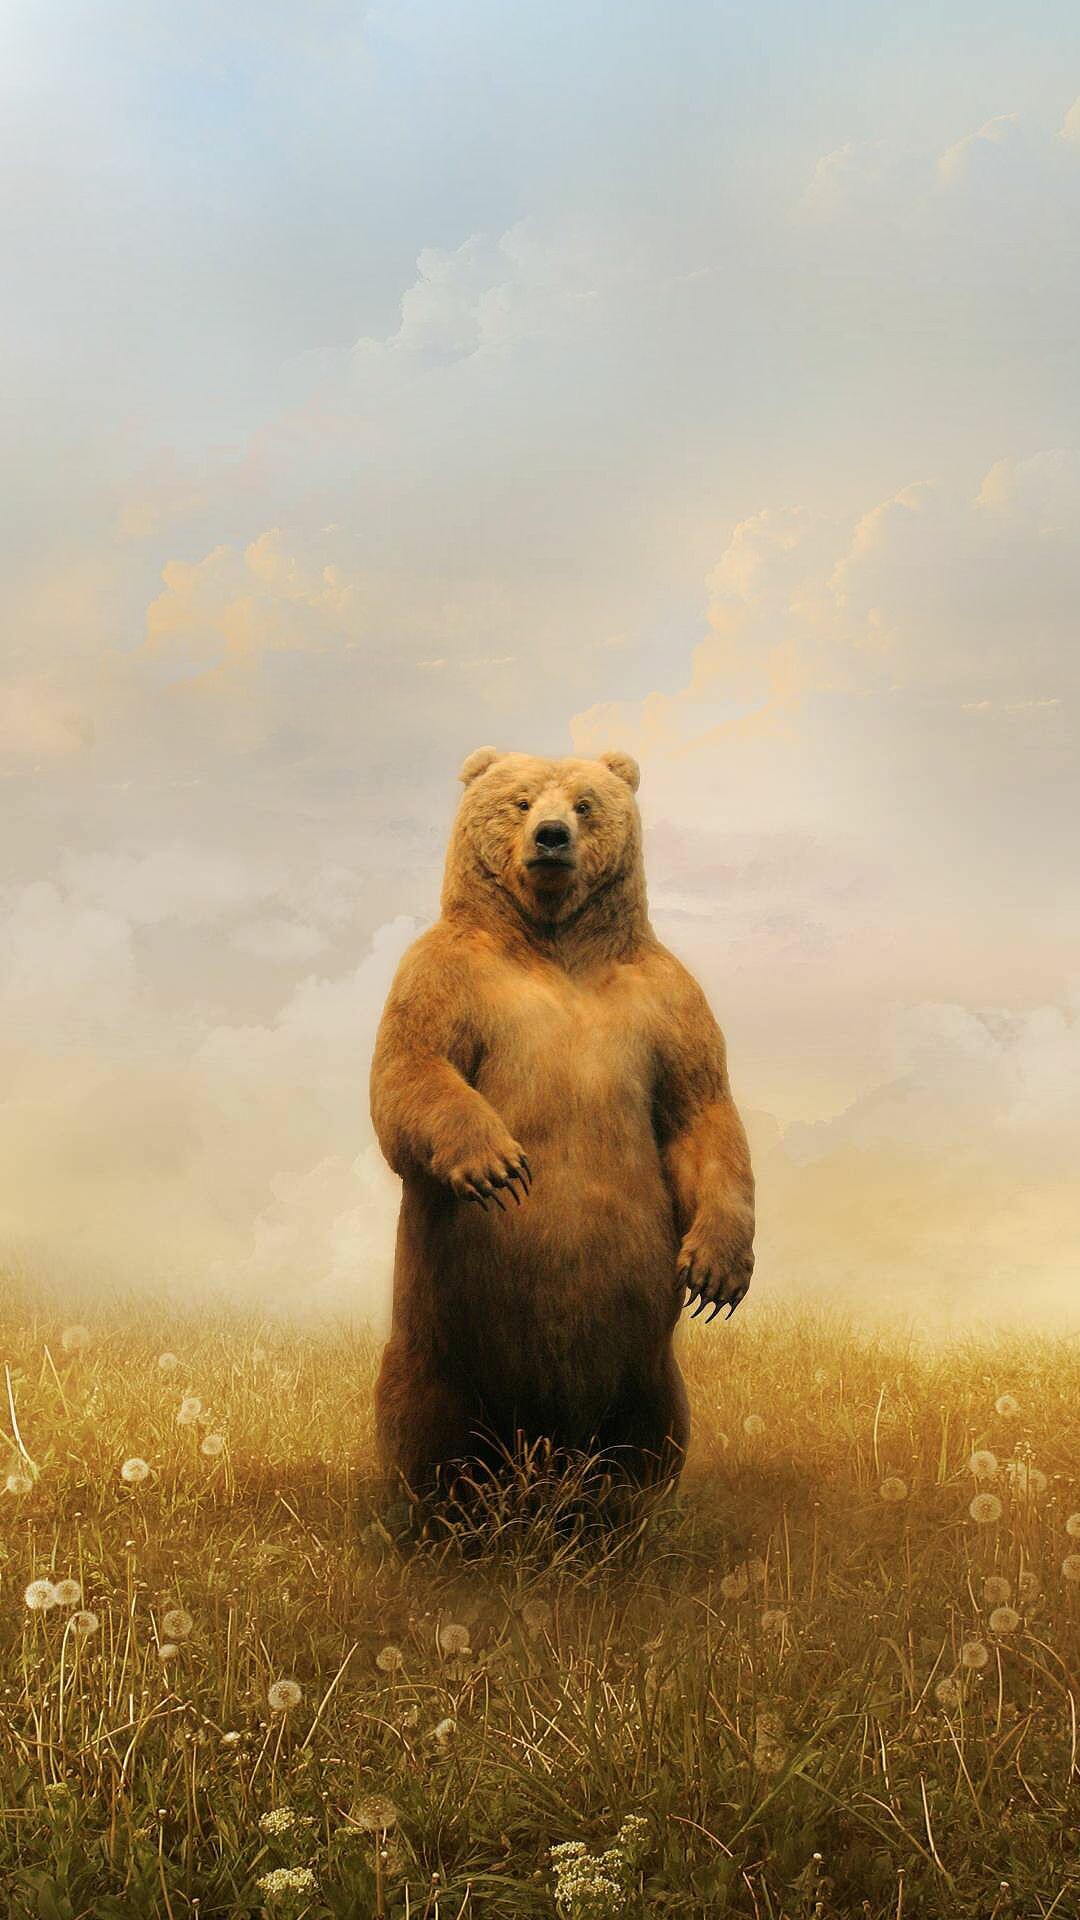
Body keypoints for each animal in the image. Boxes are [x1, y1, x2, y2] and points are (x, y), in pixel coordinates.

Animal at [369, 746, 755, 1503]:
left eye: (584, 803)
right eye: (520, 801)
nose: (550, 837)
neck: (553, 940)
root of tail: (544, 1448)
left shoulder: (666, 1001)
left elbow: (700, 1110)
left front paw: (717, 1272)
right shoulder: (445, 974)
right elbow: (411, 1069)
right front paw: (499, 1166)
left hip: (646, 1370)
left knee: (649, 1439)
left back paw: (620, 1512)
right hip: (439, 1348)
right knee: (426, 1433)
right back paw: (443, 1515)